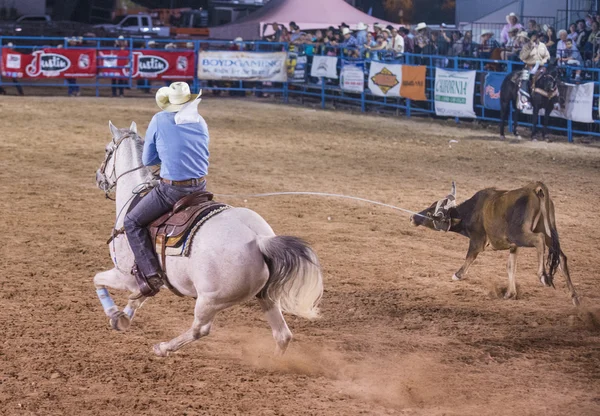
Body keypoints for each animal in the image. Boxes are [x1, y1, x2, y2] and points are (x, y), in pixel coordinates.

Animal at [93, 121, 324, 358]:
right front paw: (123, 317)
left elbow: (97, 280)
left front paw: (114, 315)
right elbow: (139, 298)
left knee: (200, 329)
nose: (99, 178)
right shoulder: (152, 279)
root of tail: (260, 240)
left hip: (209, 300)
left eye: (107, 150)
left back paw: (163, 347)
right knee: (282, 334)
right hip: (266, 296)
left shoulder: (125, 276)